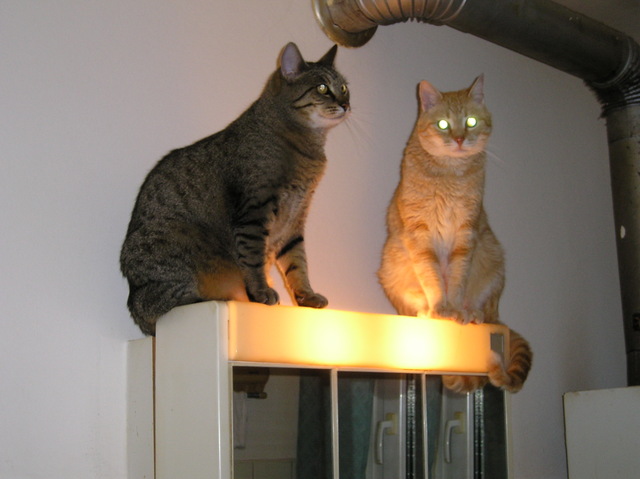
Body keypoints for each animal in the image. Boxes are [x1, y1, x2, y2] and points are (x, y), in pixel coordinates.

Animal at [120, 42, 350, 336]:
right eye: (322, 87)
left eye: (343, 87)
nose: (345, 104)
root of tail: (133, 301)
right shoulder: (255, 211)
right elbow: (253, 260)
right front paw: (261, 292)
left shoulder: (295, 220)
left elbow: (298, 264)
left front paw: (306, 297)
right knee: (165, 304)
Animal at [377, 75, 531, 393]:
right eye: (443, 124)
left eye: (470, 121)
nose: (460, 139)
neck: (450, 174)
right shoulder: (420, 233)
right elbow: (433, 278)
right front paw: (440, 308)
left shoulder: (466, 233)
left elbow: (457, 278)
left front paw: (456, 309)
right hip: (390, 266)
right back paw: (426, 312)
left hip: (493, 258)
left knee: (487, 312)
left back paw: (473, 314)